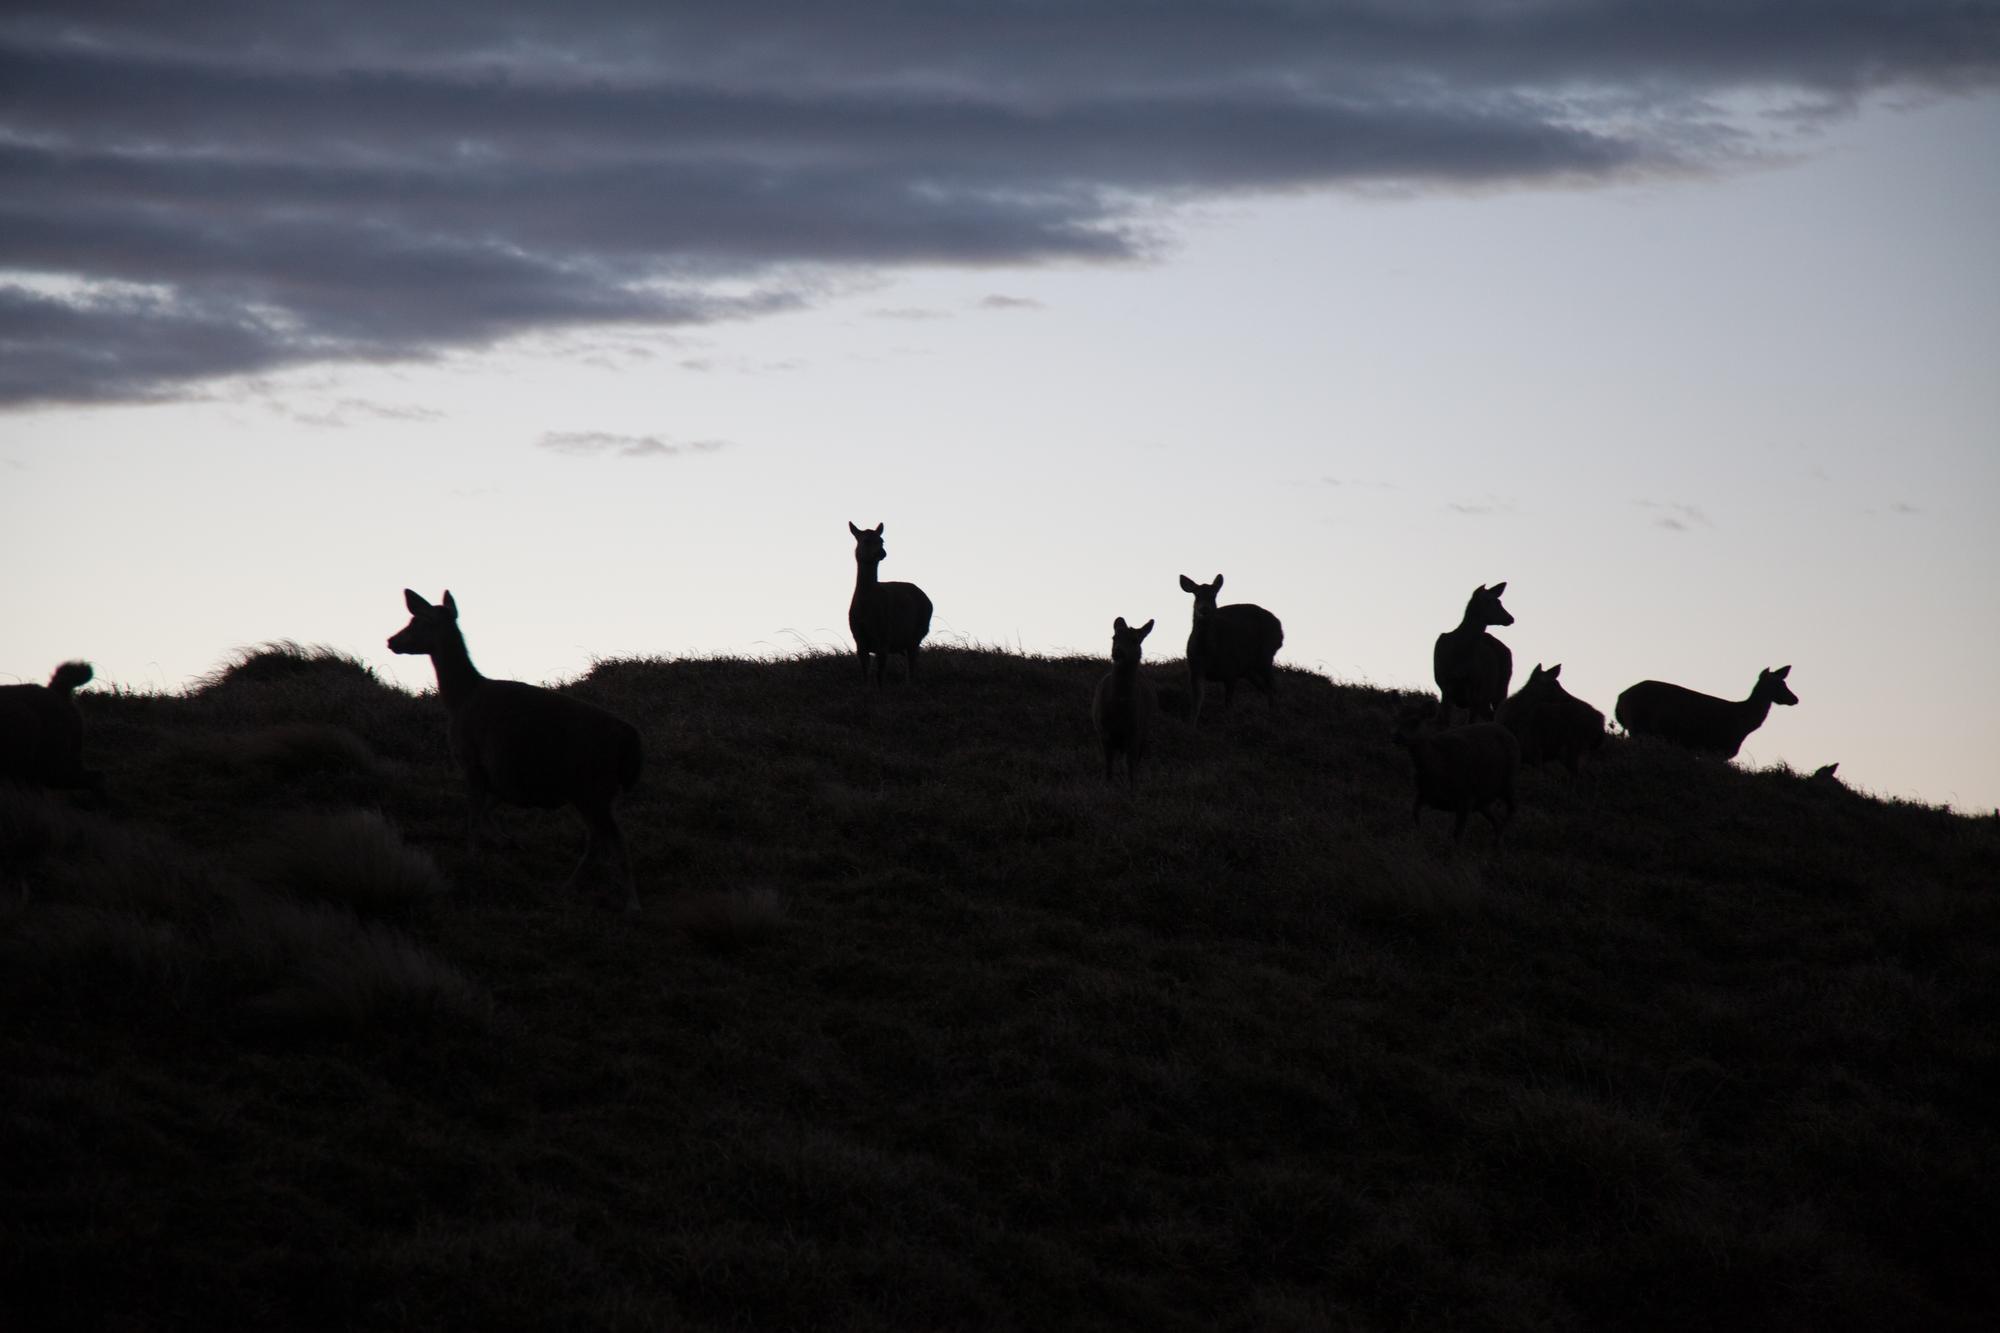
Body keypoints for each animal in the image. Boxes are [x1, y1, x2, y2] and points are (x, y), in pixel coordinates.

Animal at [387, 590, 643, 911]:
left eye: (417, 621)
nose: (391, 641)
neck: (460, 699)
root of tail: (629, 741)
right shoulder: (501, 776)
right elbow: (487, 810)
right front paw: (505, 840)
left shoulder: (471, 759)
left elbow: (473, 815)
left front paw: (472, 856)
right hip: (599, 792)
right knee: (599, 838)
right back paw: (568, 886)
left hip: (592, 786)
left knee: (614, 839)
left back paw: (630, 901)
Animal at [848, 522, 934, 687]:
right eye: (865, 540)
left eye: (881, 540)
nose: (881, 552)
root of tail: (929, 601)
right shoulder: (859, 639)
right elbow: (865, 675)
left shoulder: (884, 637)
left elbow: (880, 676)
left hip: (918, 633)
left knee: (912, 666)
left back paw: (909, 685)